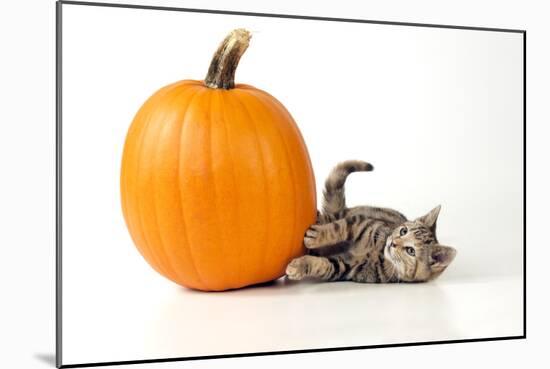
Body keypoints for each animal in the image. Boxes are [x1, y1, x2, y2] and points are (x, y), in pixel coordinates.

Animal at [286, 158, 460, 282]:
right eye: (403, 231)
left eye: (410, 251)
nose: (393, 243)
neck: (380, 253)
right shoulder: (361, 224)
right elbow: (340, 228)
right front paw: (318, 237)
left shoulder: (347, 268)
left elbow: (324, 265)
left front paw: (300, 266)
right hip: (340, 215)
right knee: (331, 219)